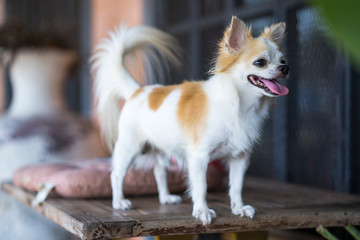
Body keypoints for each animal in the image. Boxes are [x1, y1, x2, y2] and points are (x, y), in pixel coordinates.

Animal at [93, 16, 290, 225]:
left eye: (283, 60)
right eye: (260, 62)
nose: (285, 68)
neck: (240, 105)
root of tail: (138, 90)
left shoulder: (239, 157)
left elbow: (236, 186)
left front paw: (239, 208)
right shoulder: (199, 157)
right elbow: (201, 186)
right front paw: (202, 211)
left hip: (162, 150)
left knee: (159, 173)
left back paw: (165, 197)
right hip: (130, 147)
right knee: (116, 174)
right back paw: (119, 201)